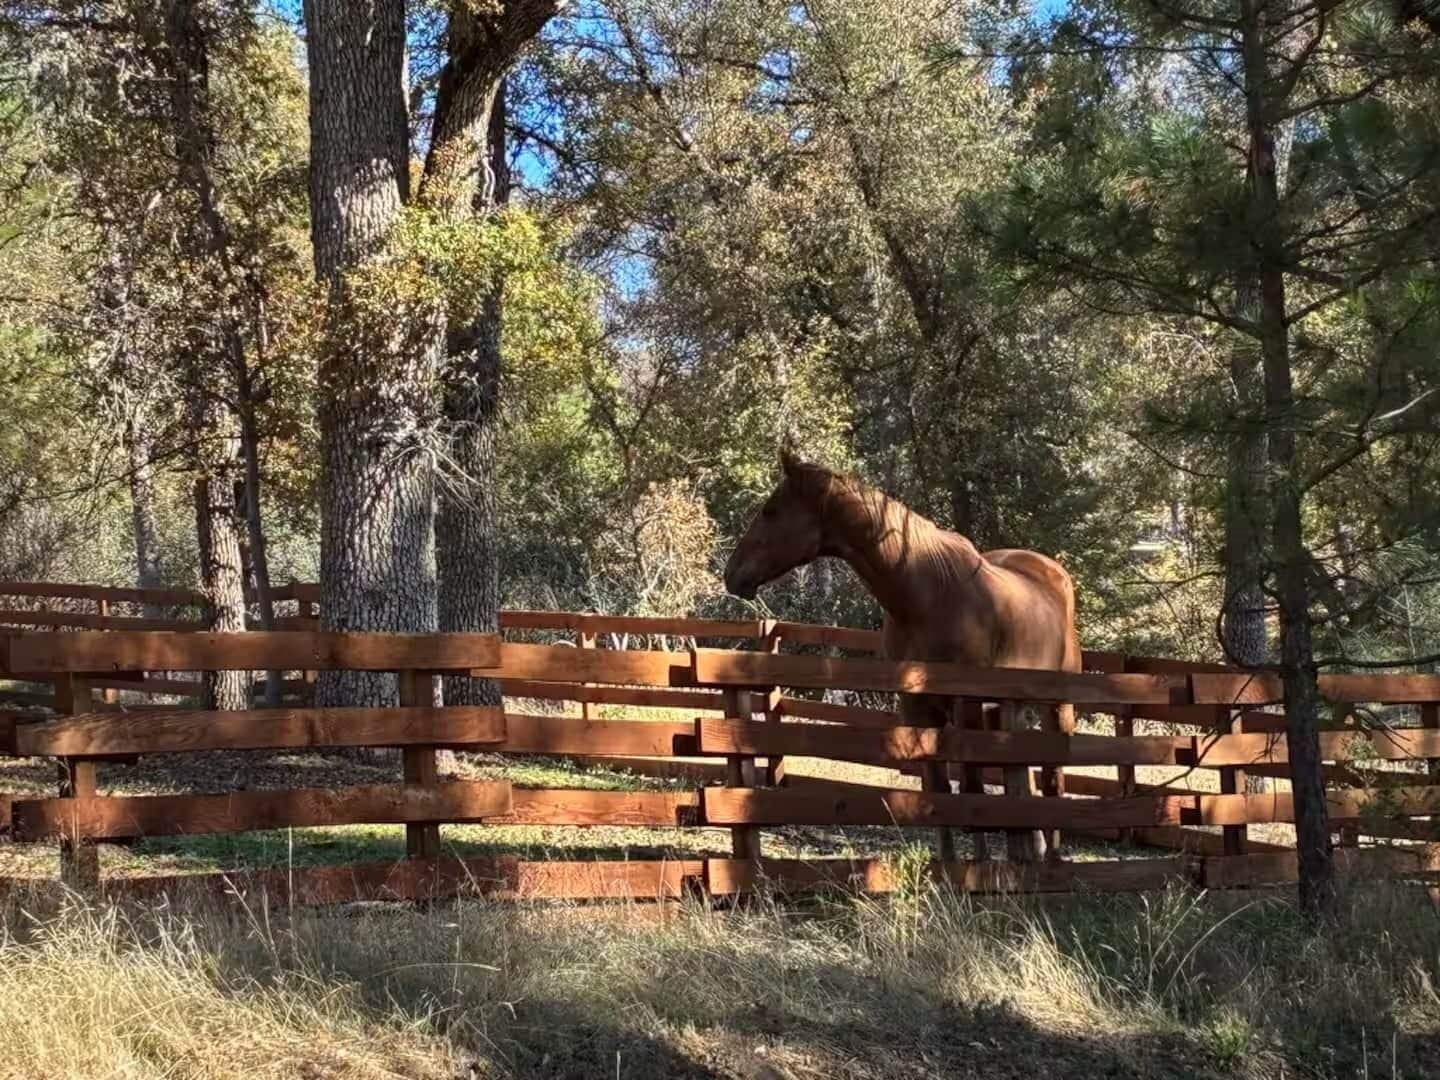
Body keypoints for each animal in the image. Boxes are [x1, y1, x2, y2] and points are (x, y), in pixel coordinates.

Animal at [723, 448, 1081, 860]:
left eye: (770, 510)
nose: (731, 573)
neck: (925, 597)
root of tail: (1052, 573)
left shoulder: (965, 706)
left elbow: (972, 791)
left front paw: (979, 867)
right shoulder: (917, 707)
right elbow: (939, 792)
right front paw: (949, 867)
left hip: (1056, 705)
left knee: (1053, 777)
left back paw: (1051, 857)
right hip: (1008, 709)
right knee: (1022, 775)